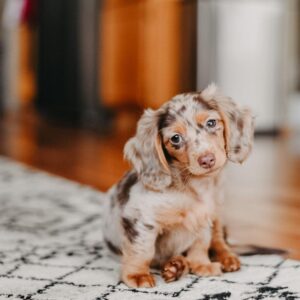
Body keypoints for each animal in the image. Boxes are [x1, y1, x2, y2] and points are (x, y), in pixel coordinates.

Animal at [102, 83, 253, 288]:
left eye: (211, 123)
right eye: (175, 138)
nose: (207, 160)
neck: (192, 187)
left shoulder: (205, 216)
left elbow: (201, 243)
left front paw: (201, 264)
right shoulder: (140, 217)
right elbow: (142, 250)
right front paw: (137, 274)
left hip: (218, 217)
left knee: (219, 241)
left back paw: (225, 258)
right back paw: (177, 265)